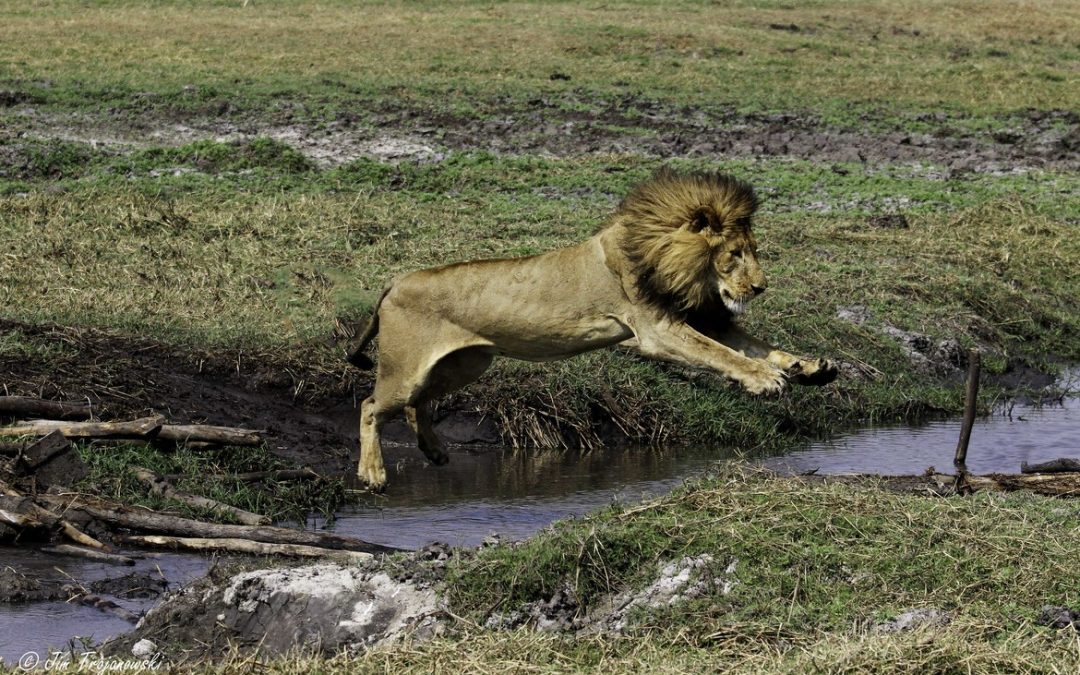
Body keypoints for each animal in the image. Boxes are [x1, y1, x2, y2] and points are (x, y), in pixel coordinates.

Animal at [347, 169, 838, 489]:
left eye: (753, 250)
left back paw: (434, 452)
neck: (673, 262)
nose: (760, 287)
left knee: (417, 405)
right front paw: (766, 380)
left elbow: (752, 345)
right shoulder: (657, 329)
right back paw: (373, 474)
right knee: (372, 405)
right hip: (406, 367)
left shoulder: (698, 315)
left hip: (467, 363)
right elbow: (722, 354)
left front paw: (809, 367)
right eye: (734, 253)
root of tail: (394, 282)